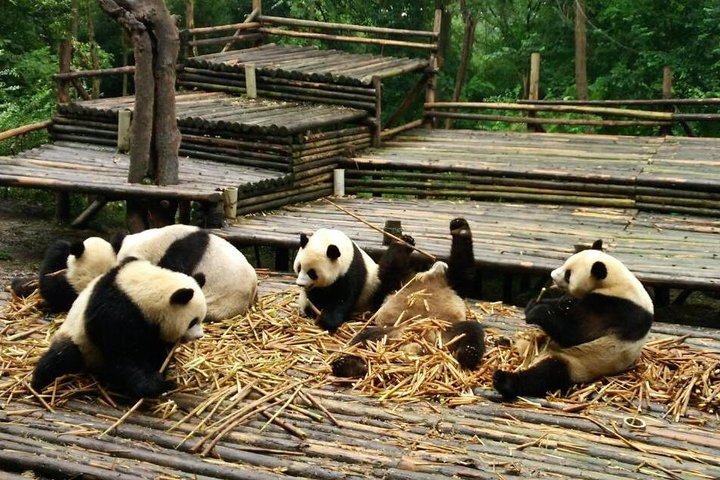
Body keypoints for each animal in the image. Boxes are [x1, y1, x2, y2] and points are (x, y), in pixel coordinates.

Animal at [31, 257, 207, 399]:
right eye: (192, 321)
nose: (199, 336)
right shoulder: (116, 312)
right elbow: (125, 355)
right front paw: (156, 384)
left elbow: (156, 349)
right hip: (79, 340)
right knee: (61, 356)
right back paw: (39, 383)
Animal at [331, 218, 485, 378]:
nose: (440, 263)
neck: (430, 277)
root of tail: (418, 343)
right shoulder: (403, 281)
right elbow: (390, 269)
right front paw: (405, 242)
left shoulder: (452, 284)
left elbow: (463, 274)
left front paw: (461, 229)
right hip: (389, 332)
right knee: (363, 340)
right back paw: (349, 365)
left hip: (446, 331)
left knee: (471, 331)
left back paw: (468, 354)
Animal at [493, 239, 654, 400]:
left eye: (568, 274)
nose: (552, 275)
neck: (615, 283)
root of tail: (532, 357)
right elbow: (564, 305)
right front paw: (535, 303)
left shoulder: (616, 309)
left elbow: (576, 332)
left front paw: (536, 311)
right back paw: (502, 342)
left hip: (579, 363)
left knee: (547, 373)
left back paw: (504, 381)